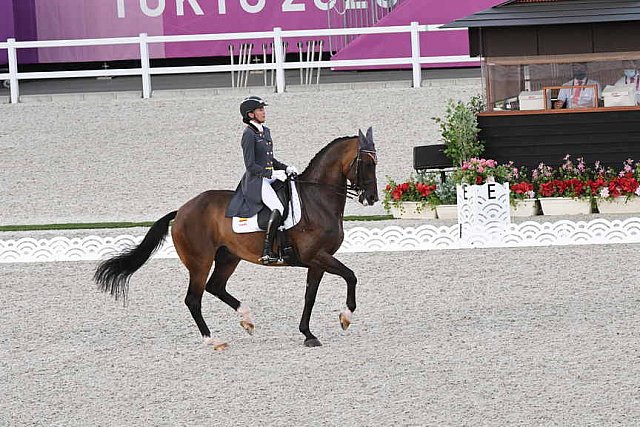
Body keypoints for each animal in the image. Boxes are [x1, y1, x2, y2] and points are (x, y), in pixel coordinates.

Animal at [92, 126, 378, 348]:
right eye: (365, 163)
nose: (372, 198)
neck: (317, 200)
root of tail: (182, 210)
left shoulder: (317, 260)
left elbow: (310, 296)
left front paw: (308, 334)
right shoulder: (317, 256)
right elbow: (351, 276)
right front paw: (345, 317)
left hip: (228, 257)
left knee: (215, 287)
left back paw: (247, 320)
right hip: (200, 262)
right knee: (194, 298)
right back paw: (213, 340)